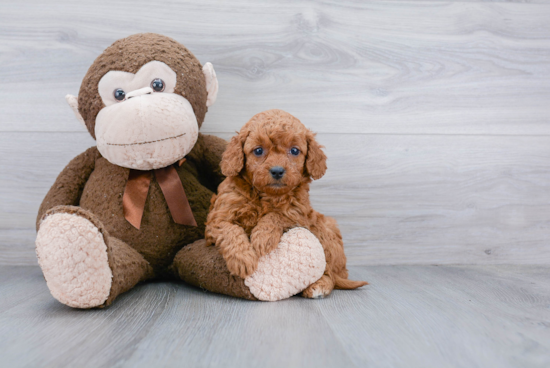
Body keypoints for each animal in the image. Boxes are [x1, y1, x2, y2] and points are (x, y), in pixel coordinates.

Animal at [205, 109, 368, 300]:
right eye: (258, 150)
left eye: (294, 150)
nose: (277, 171)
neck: (266, 196)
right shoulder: (216, 220)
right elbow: (230, 230)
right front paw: (243, 259)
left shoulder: (300, 213)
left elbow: (278, 215)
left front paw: (262, 237)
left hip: (324, 229)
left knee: (329, 273)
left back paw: (319, 286)